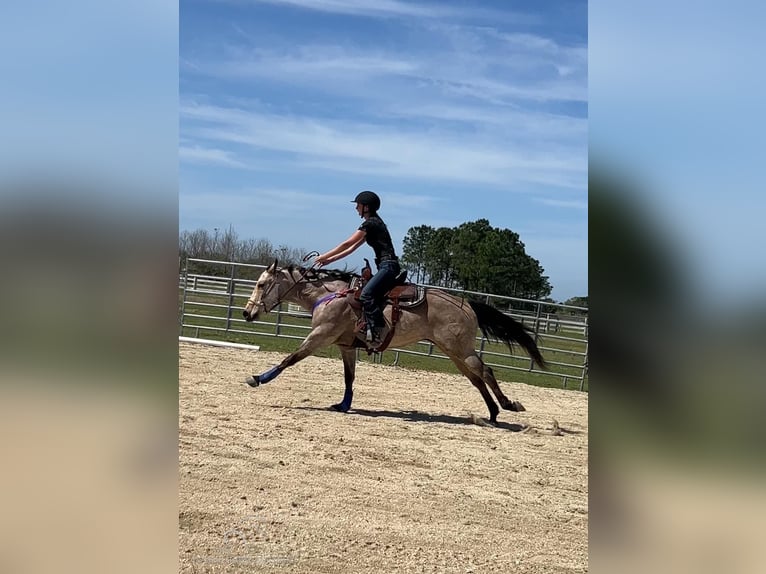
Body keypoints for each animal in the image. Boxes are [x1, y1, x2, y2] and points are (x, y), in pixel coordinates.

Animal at [243, 258, 548, 426]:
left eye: (261, 284)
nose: (247, 313)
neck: (330, 295)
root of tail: (468, 304)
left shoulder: (320, 335)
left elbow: (290, 359)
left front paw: (258, 378)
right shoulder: (345, 347)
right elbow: (349, 378)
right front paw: (343, 405)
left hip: (460, 350)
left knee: (486, 371)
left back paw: (508, 406)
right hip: (455, 352)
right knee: (476, 378)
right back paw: (493, 413)